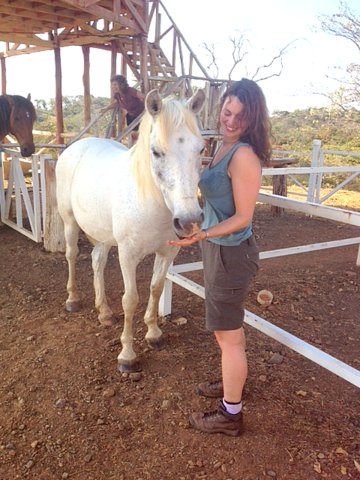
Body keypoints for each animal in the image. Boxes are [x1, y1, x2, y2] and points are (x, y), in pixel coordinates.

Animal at [57, 90, 207, 374]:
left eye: (201, 149)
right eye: (156, 152)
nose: (190, 221)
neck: (151, 200)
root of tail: (77, 146)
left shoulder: (167, 253)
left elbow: (156, 288)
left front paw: (154, 334)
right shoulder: (127, 256)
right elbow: (131, 299)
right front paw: (127, 356)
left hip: (103, 234)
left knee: (97, 261)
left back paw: (104, 311)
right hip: (69, 222)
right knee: (71, 255)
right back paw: (73, 299)